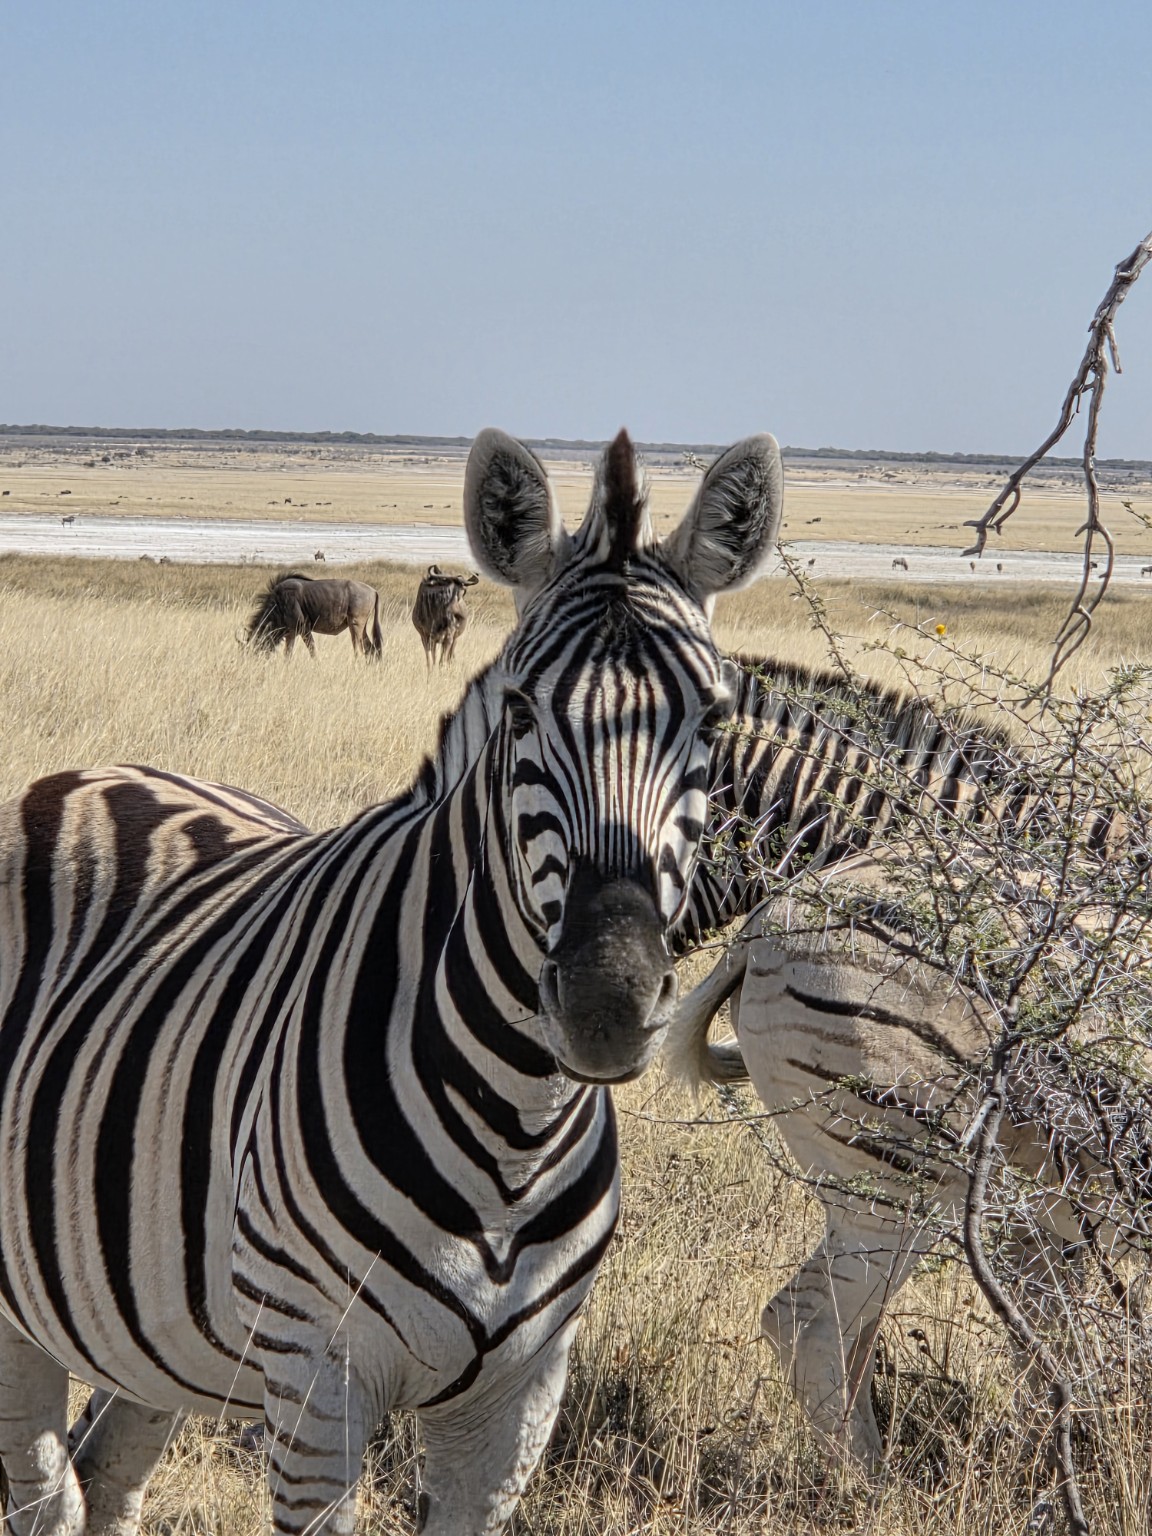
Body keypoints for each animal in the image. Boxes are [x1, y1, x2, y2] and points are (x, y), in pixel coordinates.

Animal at [0, 425, 783, 1536]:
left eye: (714, 722)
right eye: (519, 711)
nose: (606, 1005)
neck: (515, 1125)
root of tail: (88, 777)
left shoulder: (519, 1403)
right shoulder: (317, 1377)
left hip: (154, 1322)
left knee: (106, 1476)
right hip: (25, 1309)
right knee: (45, 1494)